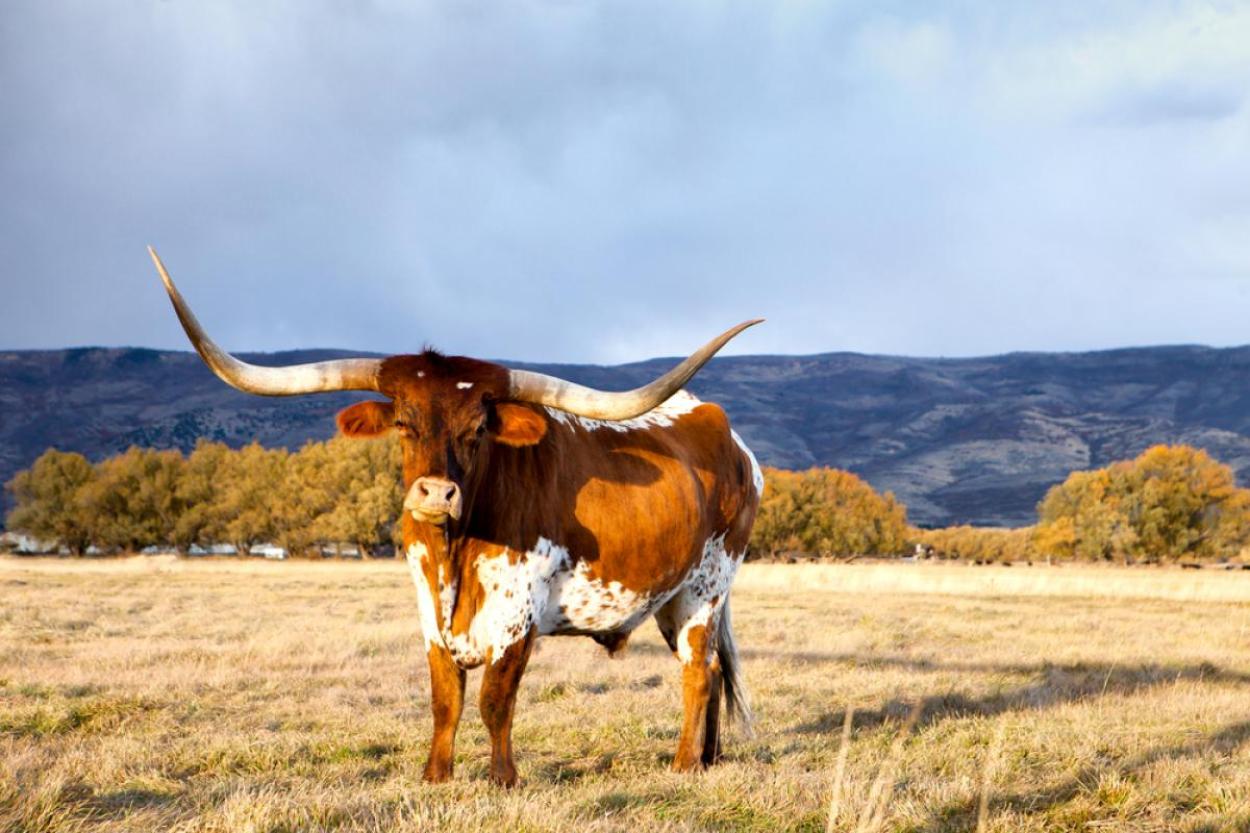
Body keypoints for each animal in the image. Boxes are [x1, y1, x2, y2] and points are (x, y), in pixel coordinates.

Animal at [151, 247, 765, 785]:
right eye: (403, 421)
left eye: (477, 429)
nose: (436, 493)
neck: (454, 549)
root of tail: (727, 433)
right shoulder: (427, 609)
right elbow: (446, 698)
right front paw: (436, 777)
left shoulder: (519, 613)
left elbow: (495, 700)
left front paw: (502, 780)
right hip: (671, 597)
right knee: (712, 669)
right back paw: (708, 758)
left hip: (706, 589)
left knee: (696, 673)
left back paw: (684, 765)